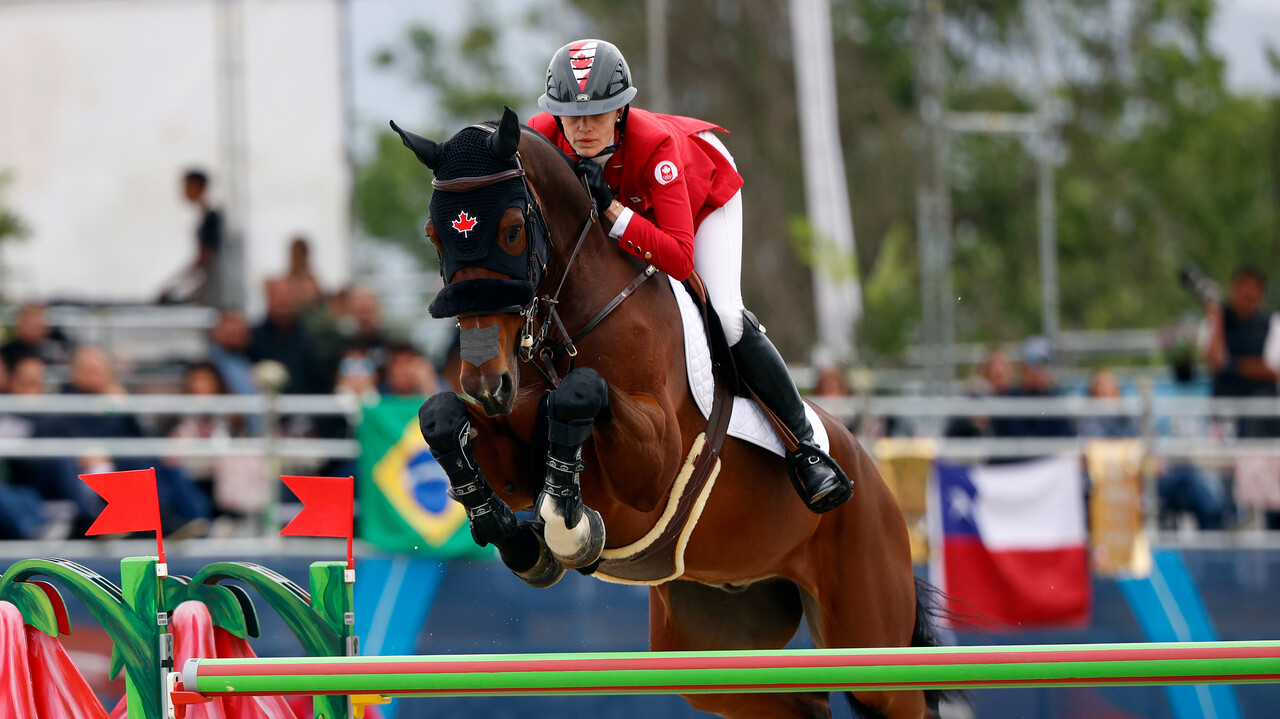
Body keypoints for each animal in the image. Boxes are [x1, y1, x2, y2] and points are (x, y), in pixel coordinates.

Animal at [386, 107, 942, 716]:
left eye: (511, 229)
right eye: (435, 234)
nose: (487, 383)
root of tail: (878, 478)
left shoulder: (652, 467)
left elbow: (581, 394)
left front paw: (566, 523)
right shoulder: (513, 453)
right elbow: (440, 417)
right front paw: (514, 536)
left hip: (872, 640)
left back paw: (820, 474)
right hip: (713, 646)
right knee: (803, 702)